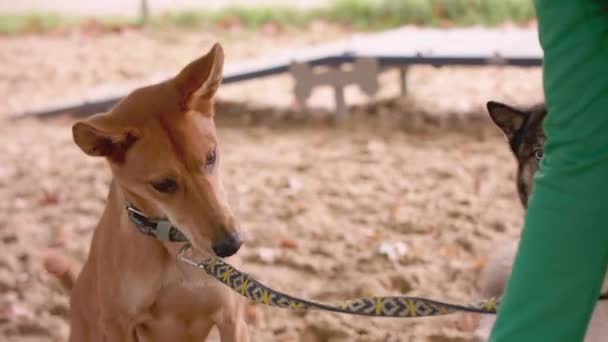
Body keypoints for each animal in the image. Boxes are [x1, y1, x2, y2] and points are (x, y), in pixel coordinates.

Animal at [52, 43, 249, 342]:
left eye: (211, 158)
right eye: (163, 184)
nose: (231, 245)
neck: (174, 248)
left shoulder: (231, 319)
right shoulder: (119, 324)